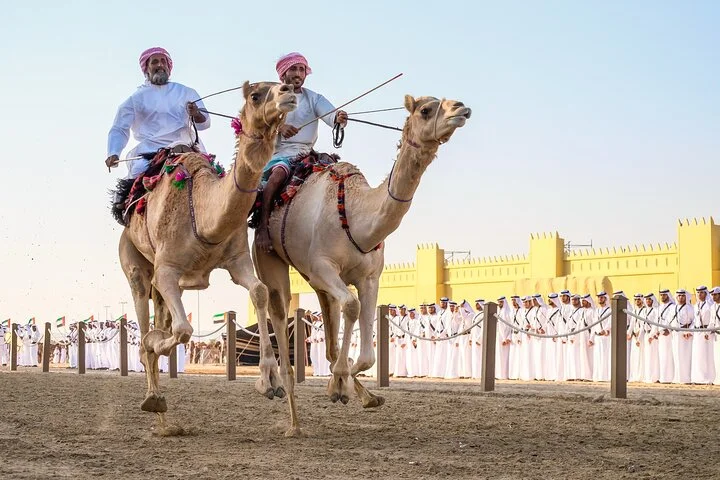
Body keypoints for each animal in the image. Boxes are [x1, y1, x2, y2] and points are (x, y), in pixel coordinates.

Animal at [118, 81, 297, 432]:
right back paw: (153, 397)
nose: (289, 91)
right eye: (256, 94)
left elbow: (259, 291)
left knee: (161, 317)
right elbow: (183, 331)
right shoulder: (167, 269)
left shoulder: (237, 261)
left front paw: (269, 382)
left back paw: (164, 418)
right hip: (134, 262)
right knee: (144, 313)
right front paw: (155, 343)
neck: (202, 212)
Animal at [253, 94, 471, 435]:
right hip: (270, 256)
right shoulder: (323, 267)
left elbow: (367, 354)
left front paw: (351, 388)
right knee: (272, 304)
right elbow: (352, 307)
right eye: (426, 110)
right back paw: (280, 401)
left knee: (325, 329)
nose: (461, 108)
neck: (356, 218)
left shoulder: (369, 277)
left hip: (315, 282)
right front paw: (339, 383)